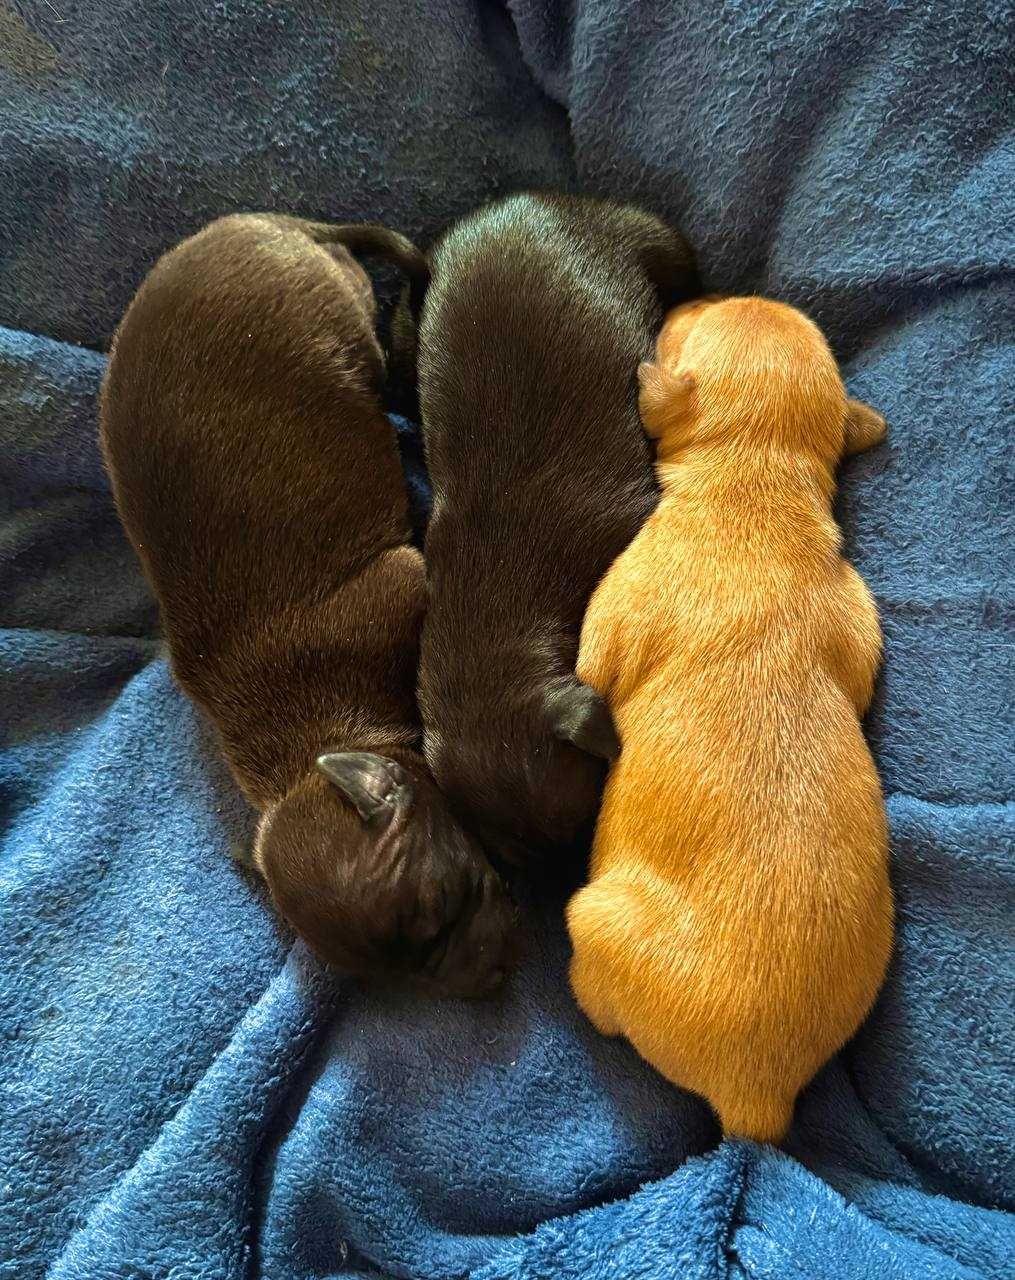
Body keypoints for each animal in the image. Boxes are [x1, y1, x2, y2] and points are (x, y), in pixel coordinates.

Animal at [100, 212, 515, 998]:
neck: (309, 745)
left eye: (441, 902)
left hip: (344, 316)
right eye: (393, 976)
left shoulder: (408, 578)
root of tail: (264, 223)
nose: (486, 980)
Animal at [567, 295, 894, 1141]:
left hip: (592, 915)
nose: (686, 297)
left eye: (689, 324)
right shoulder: (859, 622)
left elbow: (589, 668)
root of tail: (757, 1097)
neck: (756, 484)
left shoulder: (615, 610)